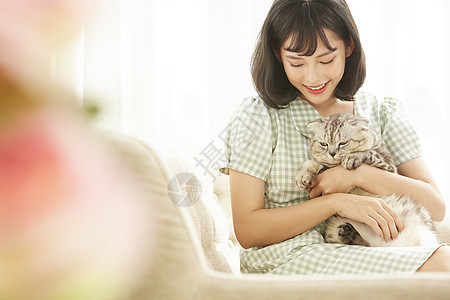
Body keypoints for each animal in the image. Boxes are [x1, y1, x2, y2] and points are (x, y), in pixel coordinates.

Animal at [294, 113, 438, 247]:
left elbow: (369, 153)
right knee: (362, 243)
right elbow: (312, 163)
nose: (332, 153)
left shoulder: (389, 166)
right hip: (333, 229)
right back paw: (348, 232)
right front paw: (302, 176)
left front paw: (352, 158)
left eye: (343, 143)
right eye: (323, 143)